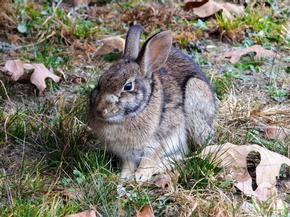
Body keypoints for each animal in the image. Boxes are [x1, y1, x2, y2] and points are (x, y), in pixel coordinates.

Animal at [88, 24, 215, 182]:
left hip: (195, 94)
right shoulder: (127, 153)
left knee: (190, 153)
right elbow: (128, 164)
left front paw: (141, 176)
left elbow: (150, 159)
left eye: (128, 86)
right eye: (100, 83)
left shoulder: (162, 141)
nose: (100, 111)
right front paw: (125, 177)